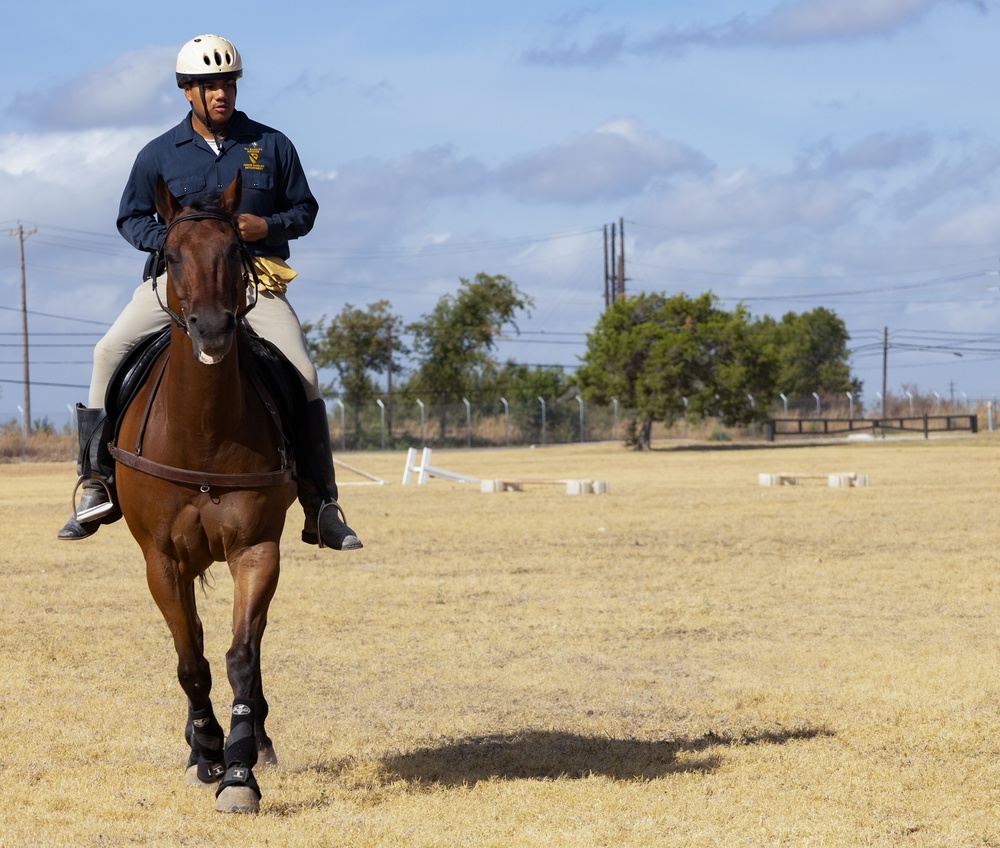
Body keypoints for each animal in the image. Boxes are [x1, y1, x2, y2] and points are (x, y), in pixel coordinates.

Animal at [113, 172, 294, 816]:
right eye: (169, 255)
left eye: (237, 251)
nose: (213, 330)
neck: (204, 432)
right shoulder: (161, 560)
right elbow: (191, 660)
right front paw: (208, 751)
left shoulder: (257, 550)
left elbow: (241, 656)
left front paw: (239, 771)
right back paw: (199, 742)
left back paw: (255, 738)